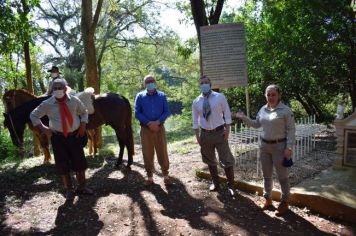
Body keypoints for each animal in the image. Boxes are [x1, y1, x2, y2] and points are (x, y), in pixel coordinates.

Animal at [2, 89, 134, 168]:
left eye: (9, 125)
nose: (15, 142)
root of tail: (120, 97)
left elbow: (46, 146)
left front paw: (49, 161)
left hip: (117, 126)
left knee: (123, 142)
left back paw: (120, 163)